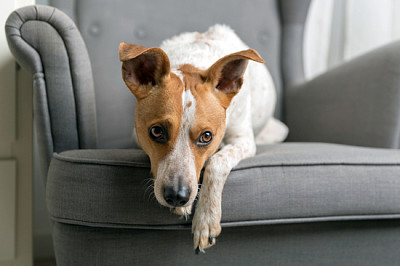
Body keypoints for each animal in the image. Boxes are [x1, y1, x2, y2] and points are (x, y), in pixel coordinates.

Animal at [119, 24, 288, 251]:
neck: (194, 57)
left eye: (206, 136)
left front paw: (207, 218)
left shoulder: (243, 140)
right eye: (156, 132)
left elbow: (217, 162)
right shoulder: (136, 137)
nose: (177, 196)